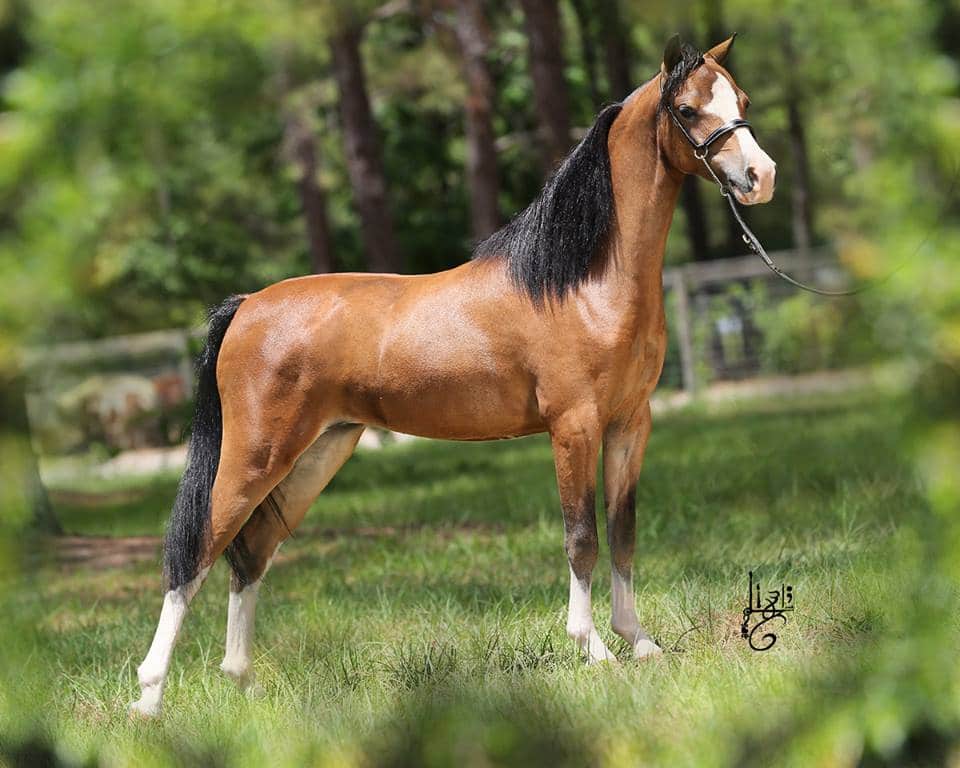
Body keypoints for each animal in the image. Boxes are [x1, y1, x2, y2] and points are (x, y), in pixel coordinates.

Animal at [130, 33, 776, 717]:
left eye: (741, 100)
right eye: (686, 108)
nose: (761, 178)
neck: (582, 281)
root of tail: (247, 305)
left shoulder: (631, 424)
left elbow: (623, 532)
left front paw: (640, 643)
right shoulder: (573, 427)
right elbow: (583, 537)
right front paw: (595, 650)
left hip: (317, 453)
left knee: (251, 552)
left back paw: (244, 683)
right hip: (254, 456)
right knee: (194, 553)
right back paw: (148, 699)